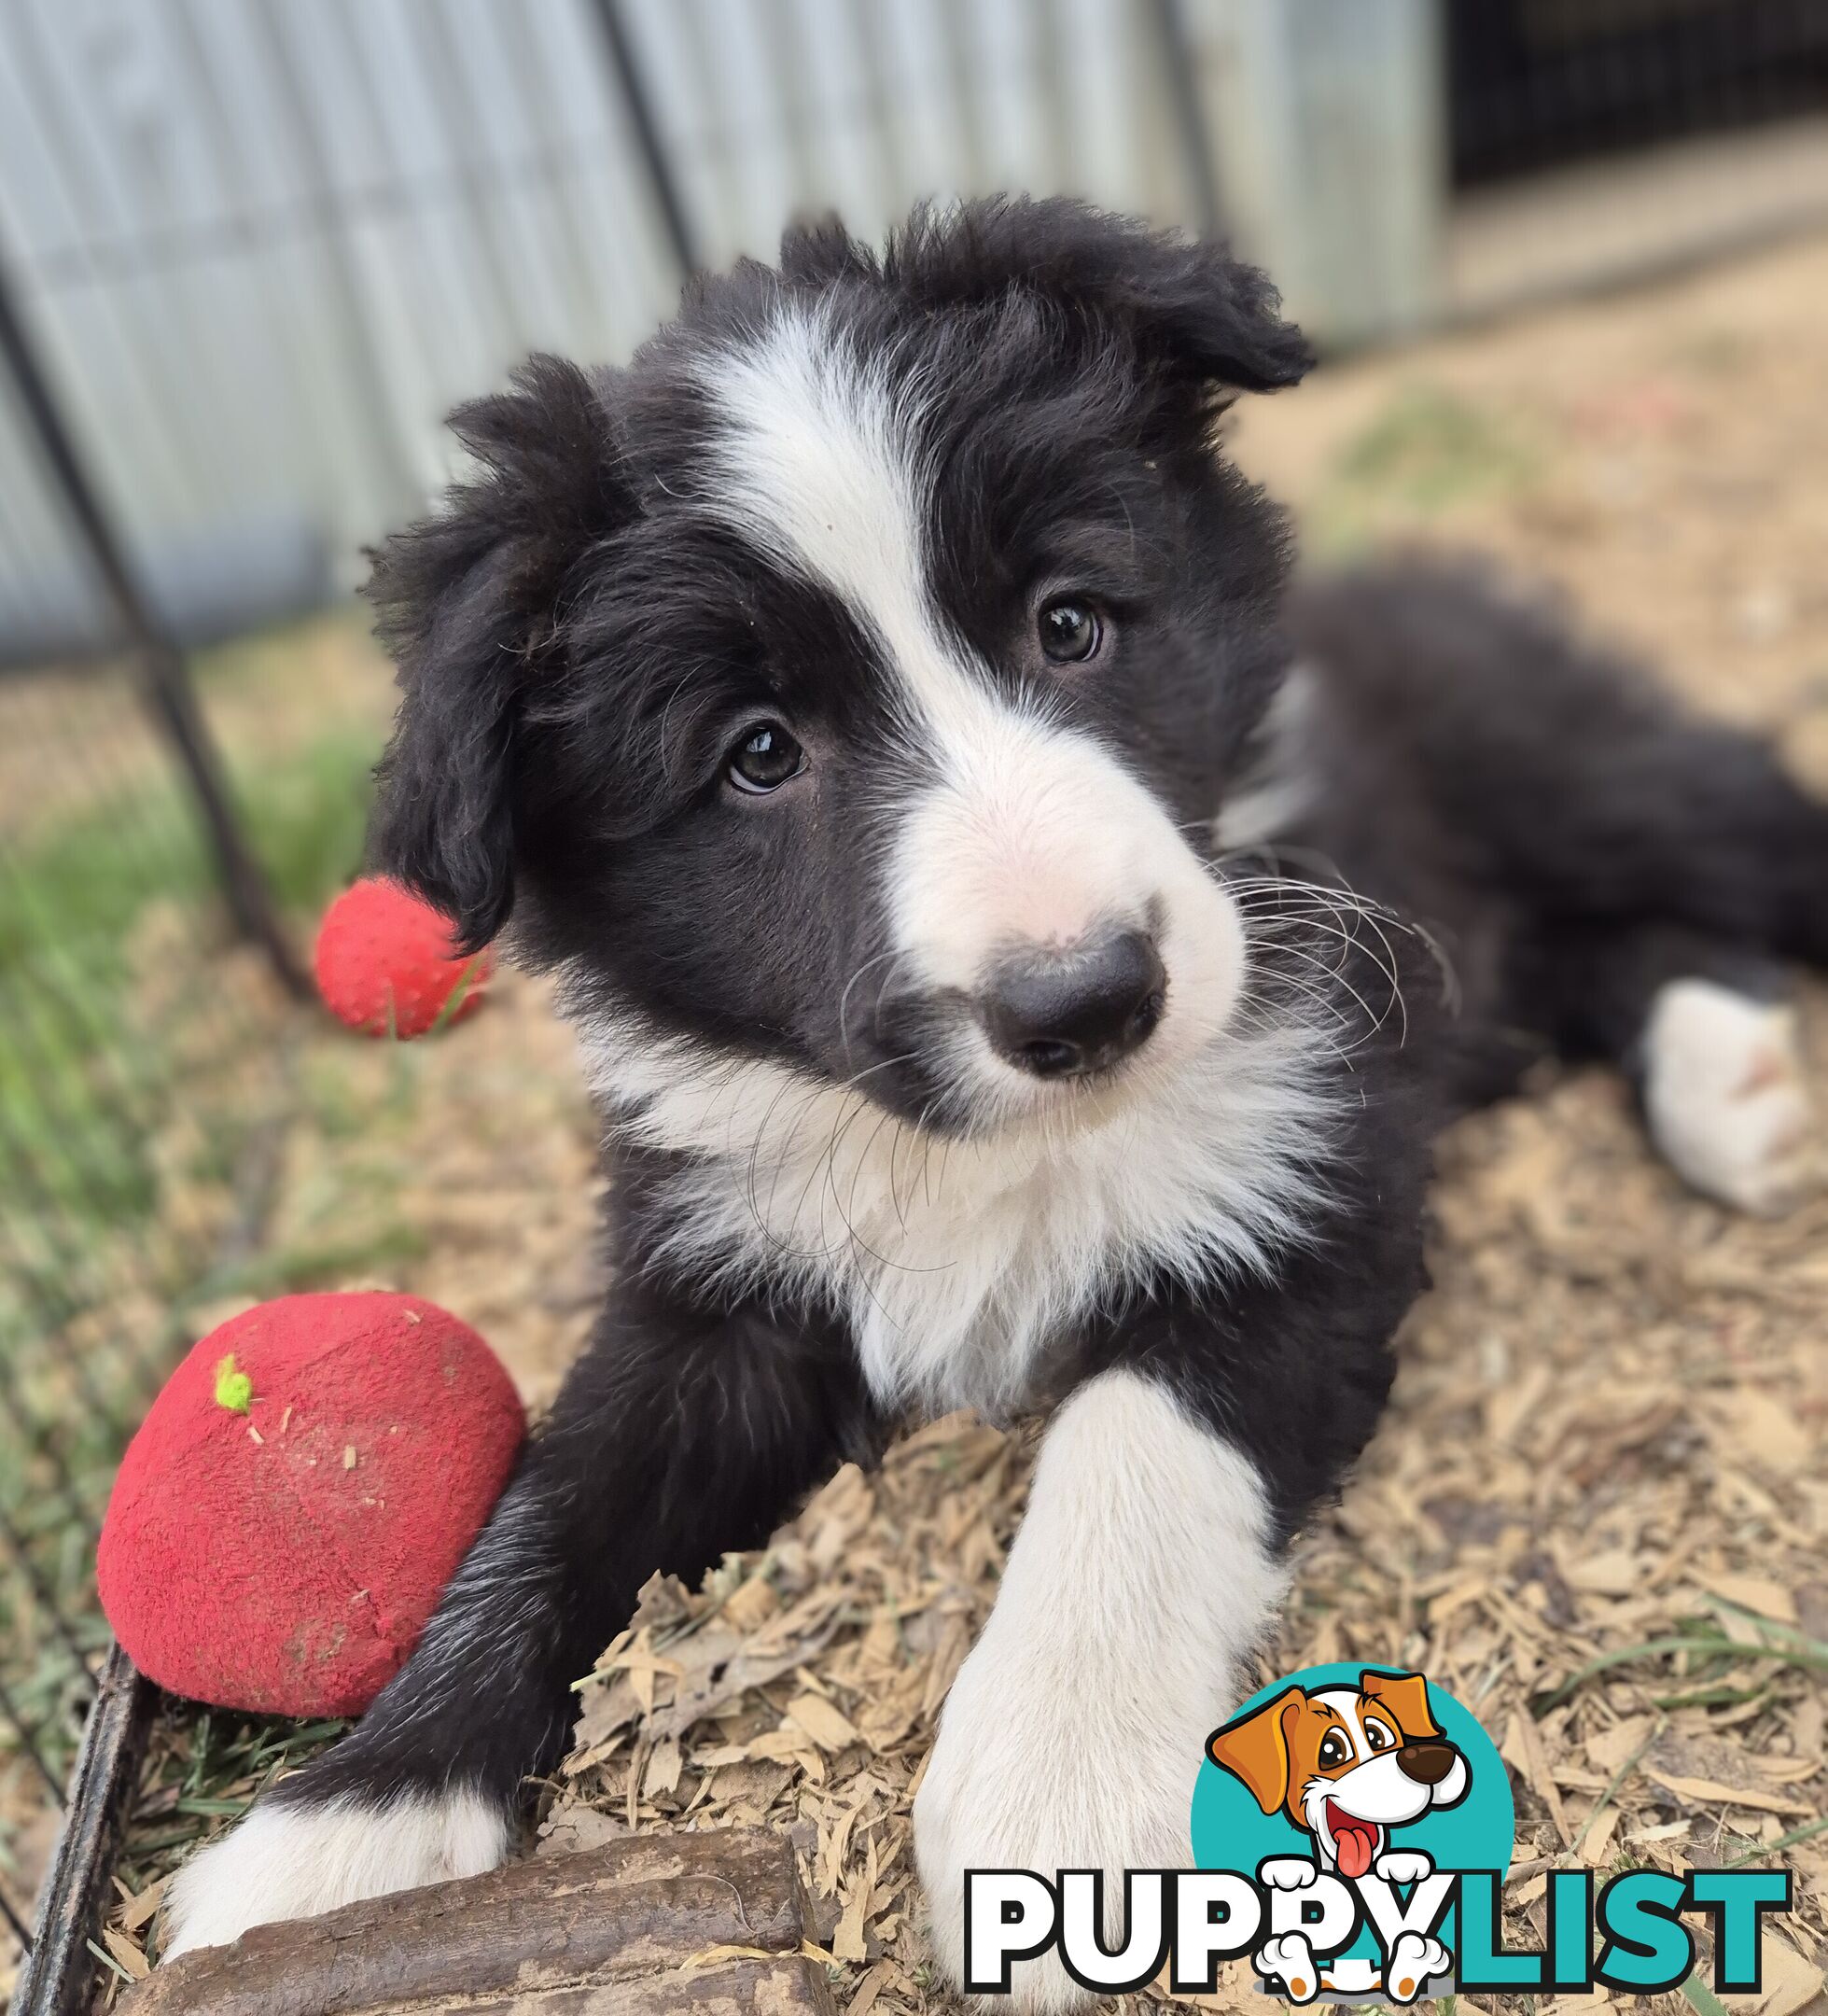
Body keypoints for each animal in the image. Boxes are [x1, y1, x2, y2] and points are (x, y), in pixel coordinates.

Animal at [164, 200, 1821, 1999]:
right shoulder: (712, 1283)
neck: (976, 1155)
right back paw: (1732, 1086)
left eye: (1069, 624)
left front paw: (1052, 1778)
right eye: (757, 753)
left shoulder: (1305, 1182)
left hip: (1585, 785)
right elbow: (548, 1502)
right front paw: (350, 1827)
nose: (1089, 1000)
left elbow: (1130, 1441)